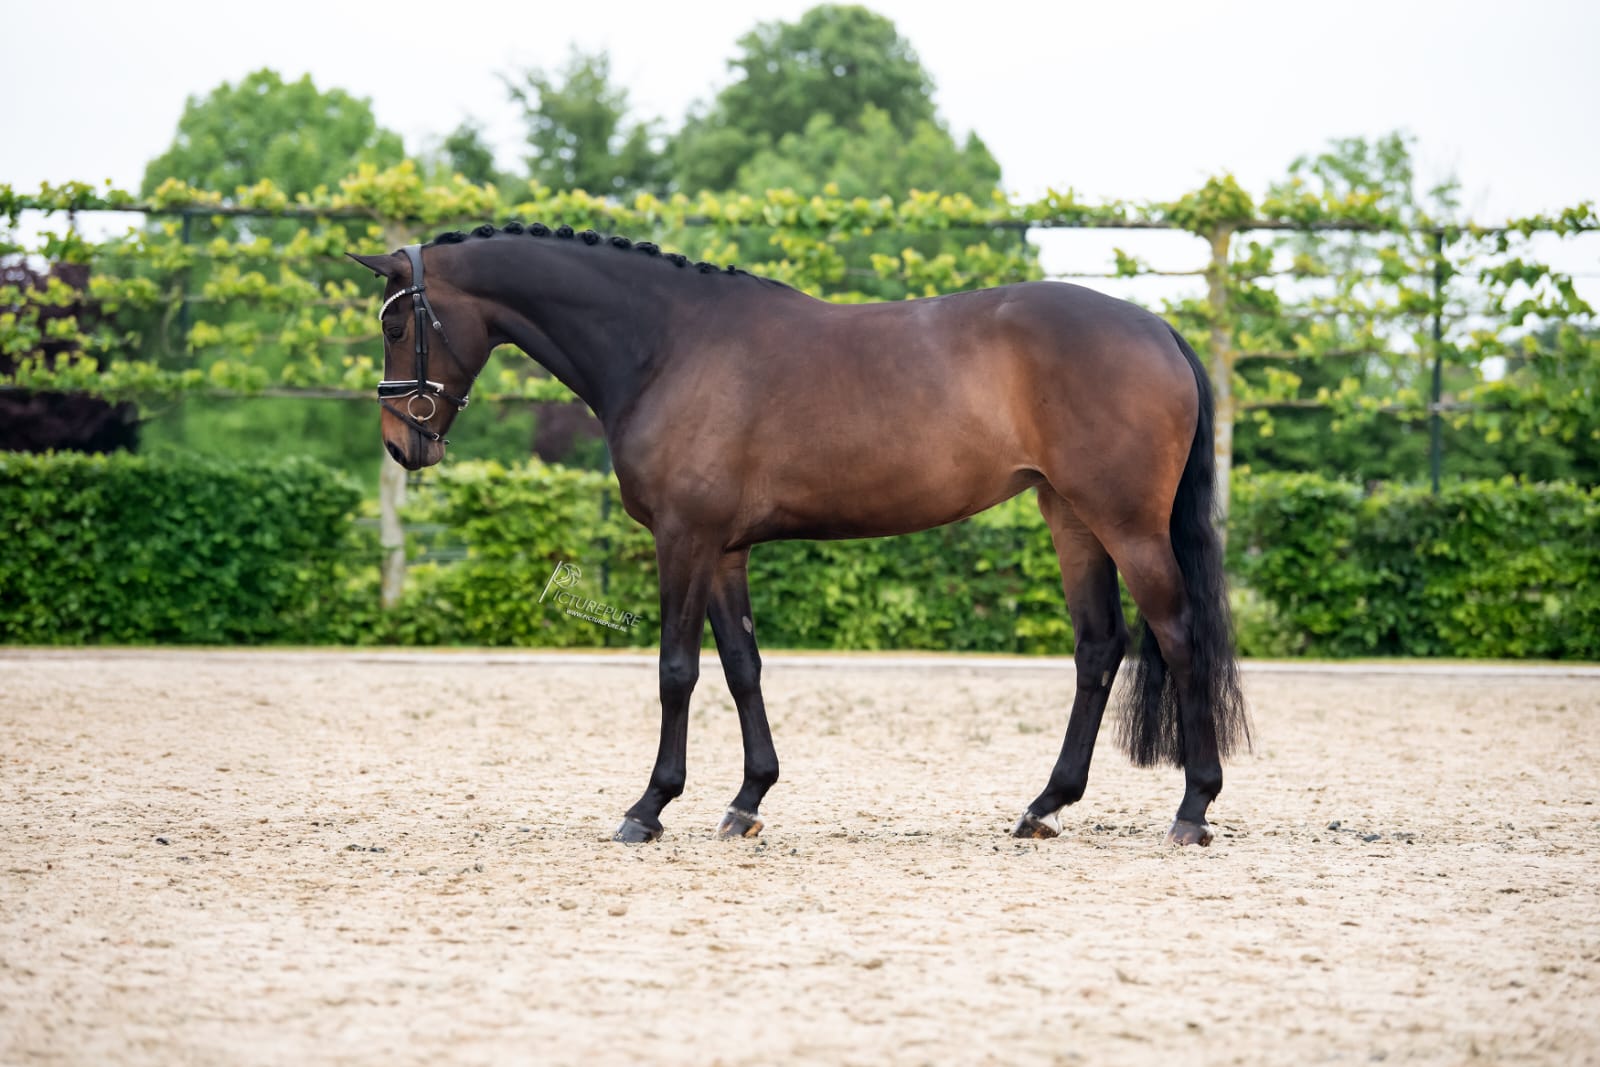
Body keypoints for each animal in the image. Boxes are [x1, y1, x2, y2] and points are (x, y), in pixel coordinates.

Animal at [348, 222, 1249, 847]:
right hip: (1070, 517)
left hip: (1125, 523)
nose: (401, 443)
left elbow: (677, 671)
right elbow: (742, 666)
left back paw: (1193, 806)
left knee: (1176, 636)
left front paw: (650, 806)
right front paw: (747, 798)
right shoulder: (724, 549)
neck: (667, 345)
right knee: (1099, 646)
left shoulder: (683, 539)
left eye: (396, 327)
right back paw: (1044, 804)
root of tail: (1158, 329)